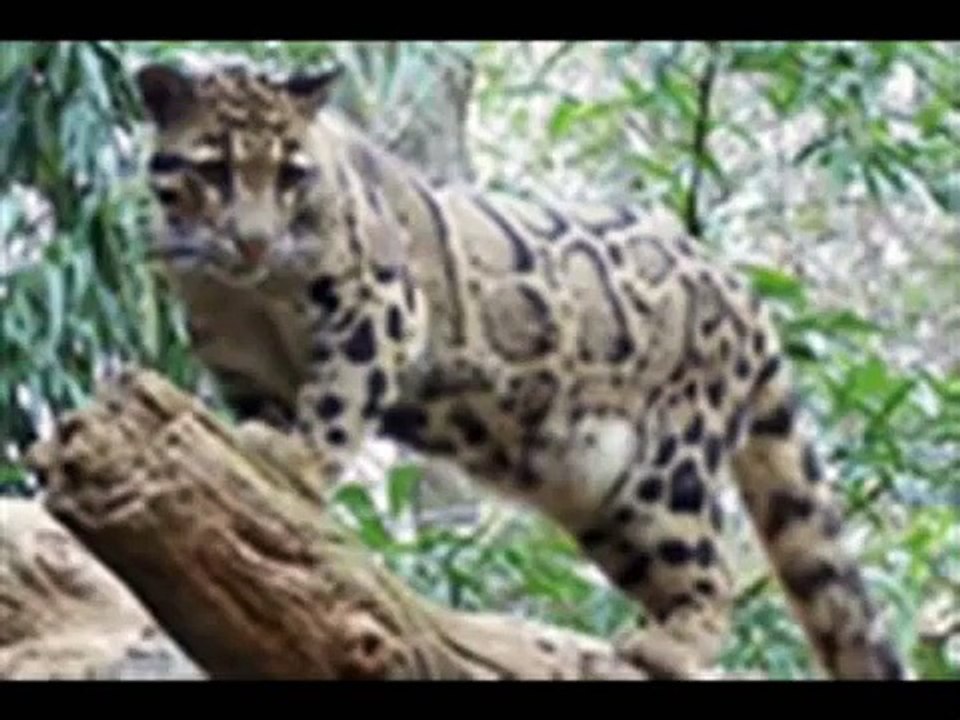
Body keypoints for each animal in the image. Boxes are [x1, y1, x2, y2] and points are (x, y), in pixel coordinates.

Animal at [133, 57, 907, 680]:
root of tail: (742, 293)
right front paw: (265, 464)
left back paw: (670, 644)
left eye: (293, 174)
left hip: (660, 473)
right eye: (214, 169)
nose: (254, 242)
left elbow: (338, 398)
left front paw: (298, 461)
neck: (250, 292)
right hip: (599, 493)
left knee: (712, 566)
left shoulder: (380, 306)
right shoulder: (243, 364)